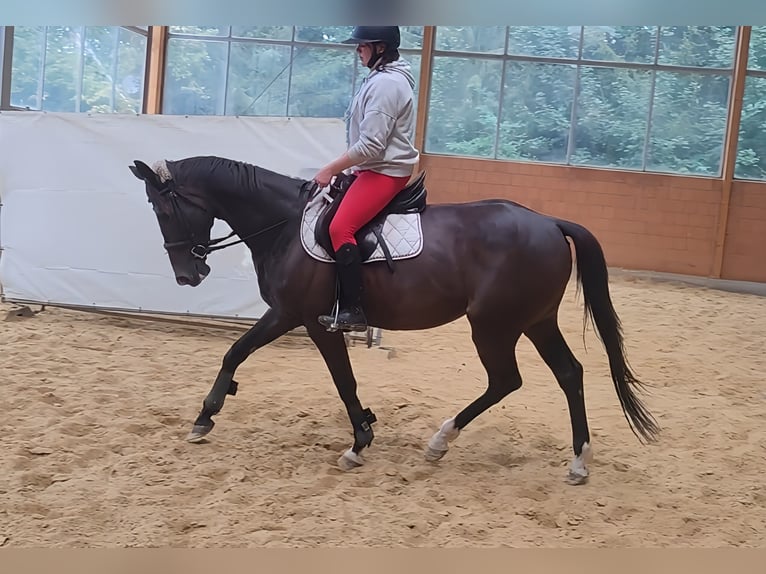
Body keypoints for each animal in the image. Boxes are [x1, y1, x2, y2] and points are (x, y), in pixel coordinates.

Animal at [127, 154, 660, 486]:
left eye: (164, 208)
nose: (188, 275)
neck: (283, 225)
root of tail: (550, 222)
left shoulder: (303, 317)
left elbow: (329, 375)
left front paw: (358, 443)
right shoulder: (293, 317)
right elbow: (246, 355)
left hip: (494, 325)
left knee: (507, 379)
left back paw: (442, 440)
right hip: (536, 321)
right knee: (568, 373)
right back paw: (578, 461)